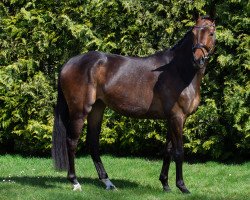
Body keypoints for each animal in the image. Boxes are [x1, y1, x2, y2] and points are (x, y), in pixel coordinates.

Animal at [51, 12, 216, 194]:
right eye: (193, 34)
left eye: (211, 33)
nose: (198, 59)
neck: (179, 71)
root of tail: (69, 62)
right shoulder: (177, 117)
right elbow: (179, 151)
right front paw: (182, 186)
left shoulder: (173, 118)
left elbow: (168, 150)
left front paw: (165, 184)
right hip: (80, 111)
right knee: (72, 141)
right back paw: (75, 182)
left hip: (97, 109)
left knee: (92, 143)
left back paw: (107, 182)